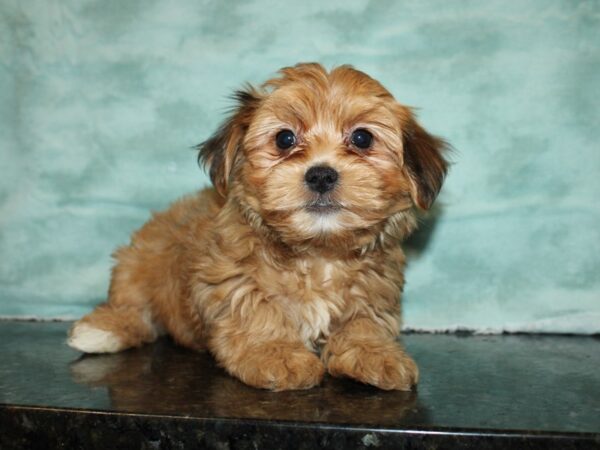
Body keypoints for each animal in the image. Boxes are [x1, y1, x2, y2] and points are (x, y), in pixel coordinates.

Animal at [68, 63, 448, 390]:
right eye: (284, 139)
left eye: (362, 139)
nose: (321, 175)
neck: (318, 252)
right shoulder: (231, 277)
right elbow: (256, 311)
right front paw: (276, 354)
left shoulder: (374, 287)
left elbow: (364, 321)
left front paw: (376, 354)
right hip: (138, 261)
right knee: (133, 308)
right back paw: (102, 330)